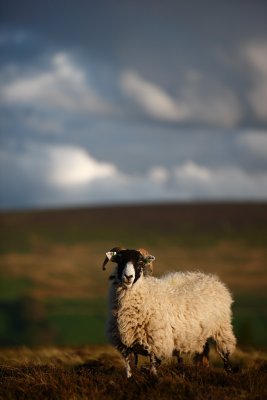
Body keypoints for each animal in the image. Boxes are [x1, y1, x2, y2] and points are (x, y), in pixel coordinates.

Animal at [102, 248, 237, 376]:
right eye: (120, 260)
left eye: (140, 262)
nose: (128, 277)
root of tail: (211, 278)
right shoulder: (126, 347)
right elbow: (129, 371)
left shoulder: (157, 343)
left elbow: (153, 369)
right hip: (201, 335)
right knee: (203, 355)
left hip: (221, 329)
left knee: (225, 355)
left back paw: (229, 373)